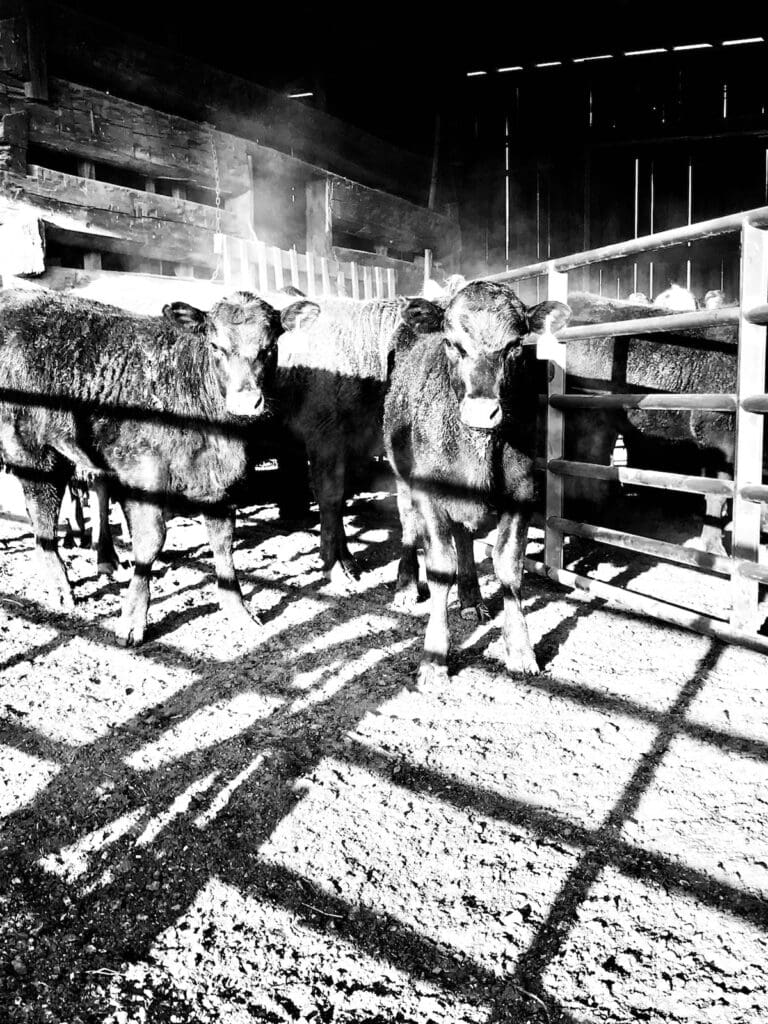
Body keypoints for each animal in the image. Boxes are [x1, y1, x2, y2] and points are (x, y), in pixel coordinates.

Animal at [0, 287, 319, 645]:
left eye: (269, 347)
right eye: (215, 345)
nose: (246, 402)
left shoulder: (218, 481)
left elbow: (223, 543)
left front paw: (239, 611)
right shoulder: (142, 474)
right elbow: (150, 541)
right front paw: (132, 619)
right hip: (32, 450)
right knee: (43, 516)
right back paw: (60, 586)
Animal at [384, 280, 571, 684]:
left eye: (515, 344)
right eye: (452, 343)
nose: (482, 412)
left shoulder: (523, 493)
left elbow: (509, 567)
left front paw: (520, 649)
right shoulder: (431, 494)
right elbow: (441, 567)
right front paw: (434, 656)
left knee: (465, 539)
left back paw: (471, 598)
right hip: (402, 478)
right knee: (409, 528)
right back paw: (406, 586)